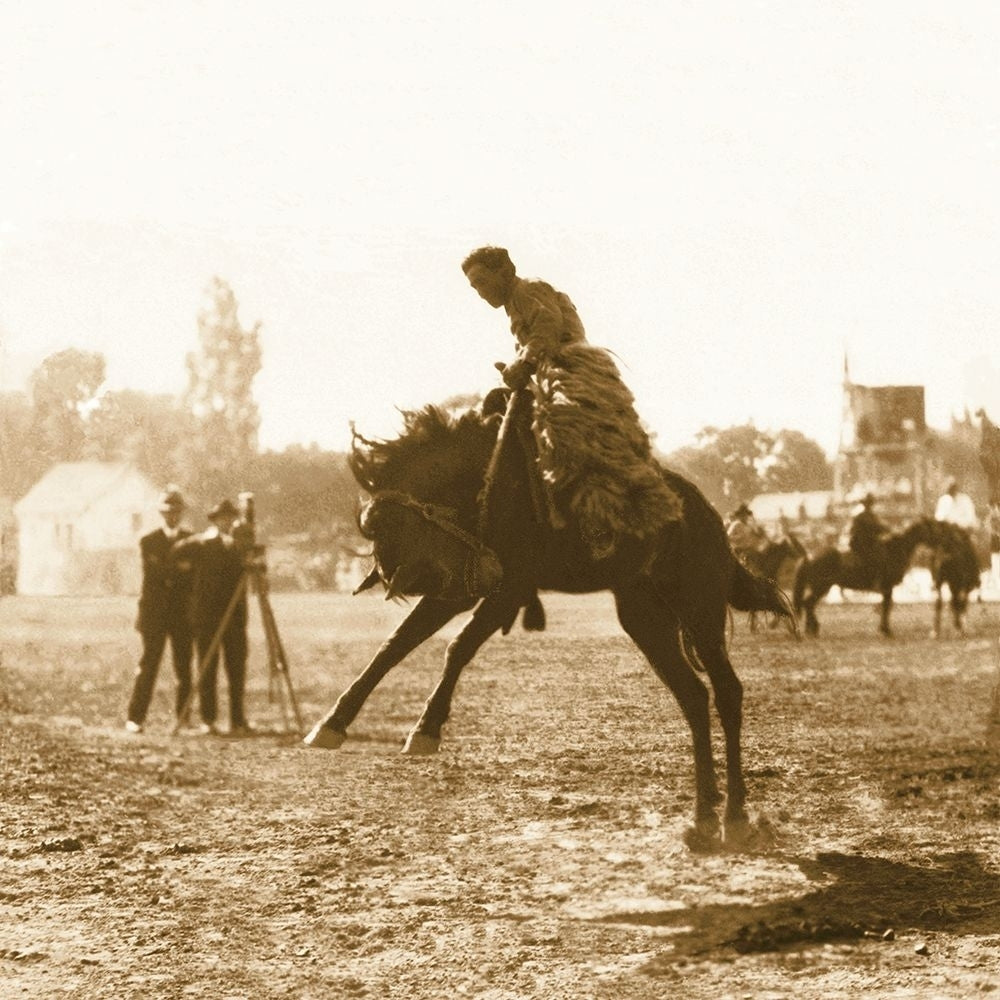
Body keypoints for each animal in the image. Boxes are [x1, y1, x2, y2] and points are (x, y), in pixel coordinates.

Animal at [300, 390, 792, 852]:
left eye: (390, 523)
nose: (398, 574)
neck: (491, 479)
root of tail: (710, 518)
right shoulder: (463, 582)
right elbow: (396, 644)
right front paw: (332, 724)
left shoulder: (508, 587)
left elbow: (456, 646)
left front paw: (426, 729)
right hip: (645, 616)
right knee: (693, 695)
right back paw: (703, 820)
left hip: (699, 607)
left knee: (727, 692)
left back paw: (734, 818)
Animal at [792, 520, 940, 636]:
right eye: (932, 528)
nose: (941, 541)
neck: (894, 550)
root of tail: (809, 557)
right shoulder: (887, 587)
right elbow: (887, 607)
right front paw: (886, 630)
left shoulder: (887, 589)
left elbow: (885, 606)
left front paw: (884, 629)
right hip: (821, 587)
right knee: (808, 603)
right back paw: (813, 629)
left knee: (808, 604)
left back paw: (811, 629)